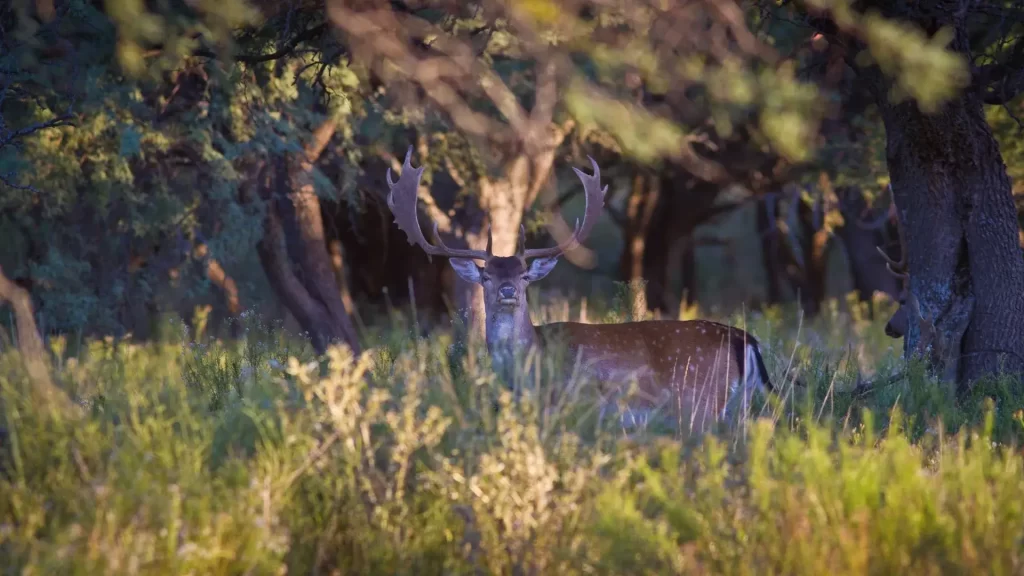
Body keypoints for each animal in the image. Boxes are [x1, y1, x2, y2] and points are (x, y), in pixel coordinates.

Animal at [385, 147, 774, 430]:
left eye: (524, 275)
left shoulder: (567, 404)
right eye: (487, 276)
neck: (528, 370)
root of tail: (746, 340)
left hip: (701, 403)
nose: (509, 291)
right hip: (735, 406)